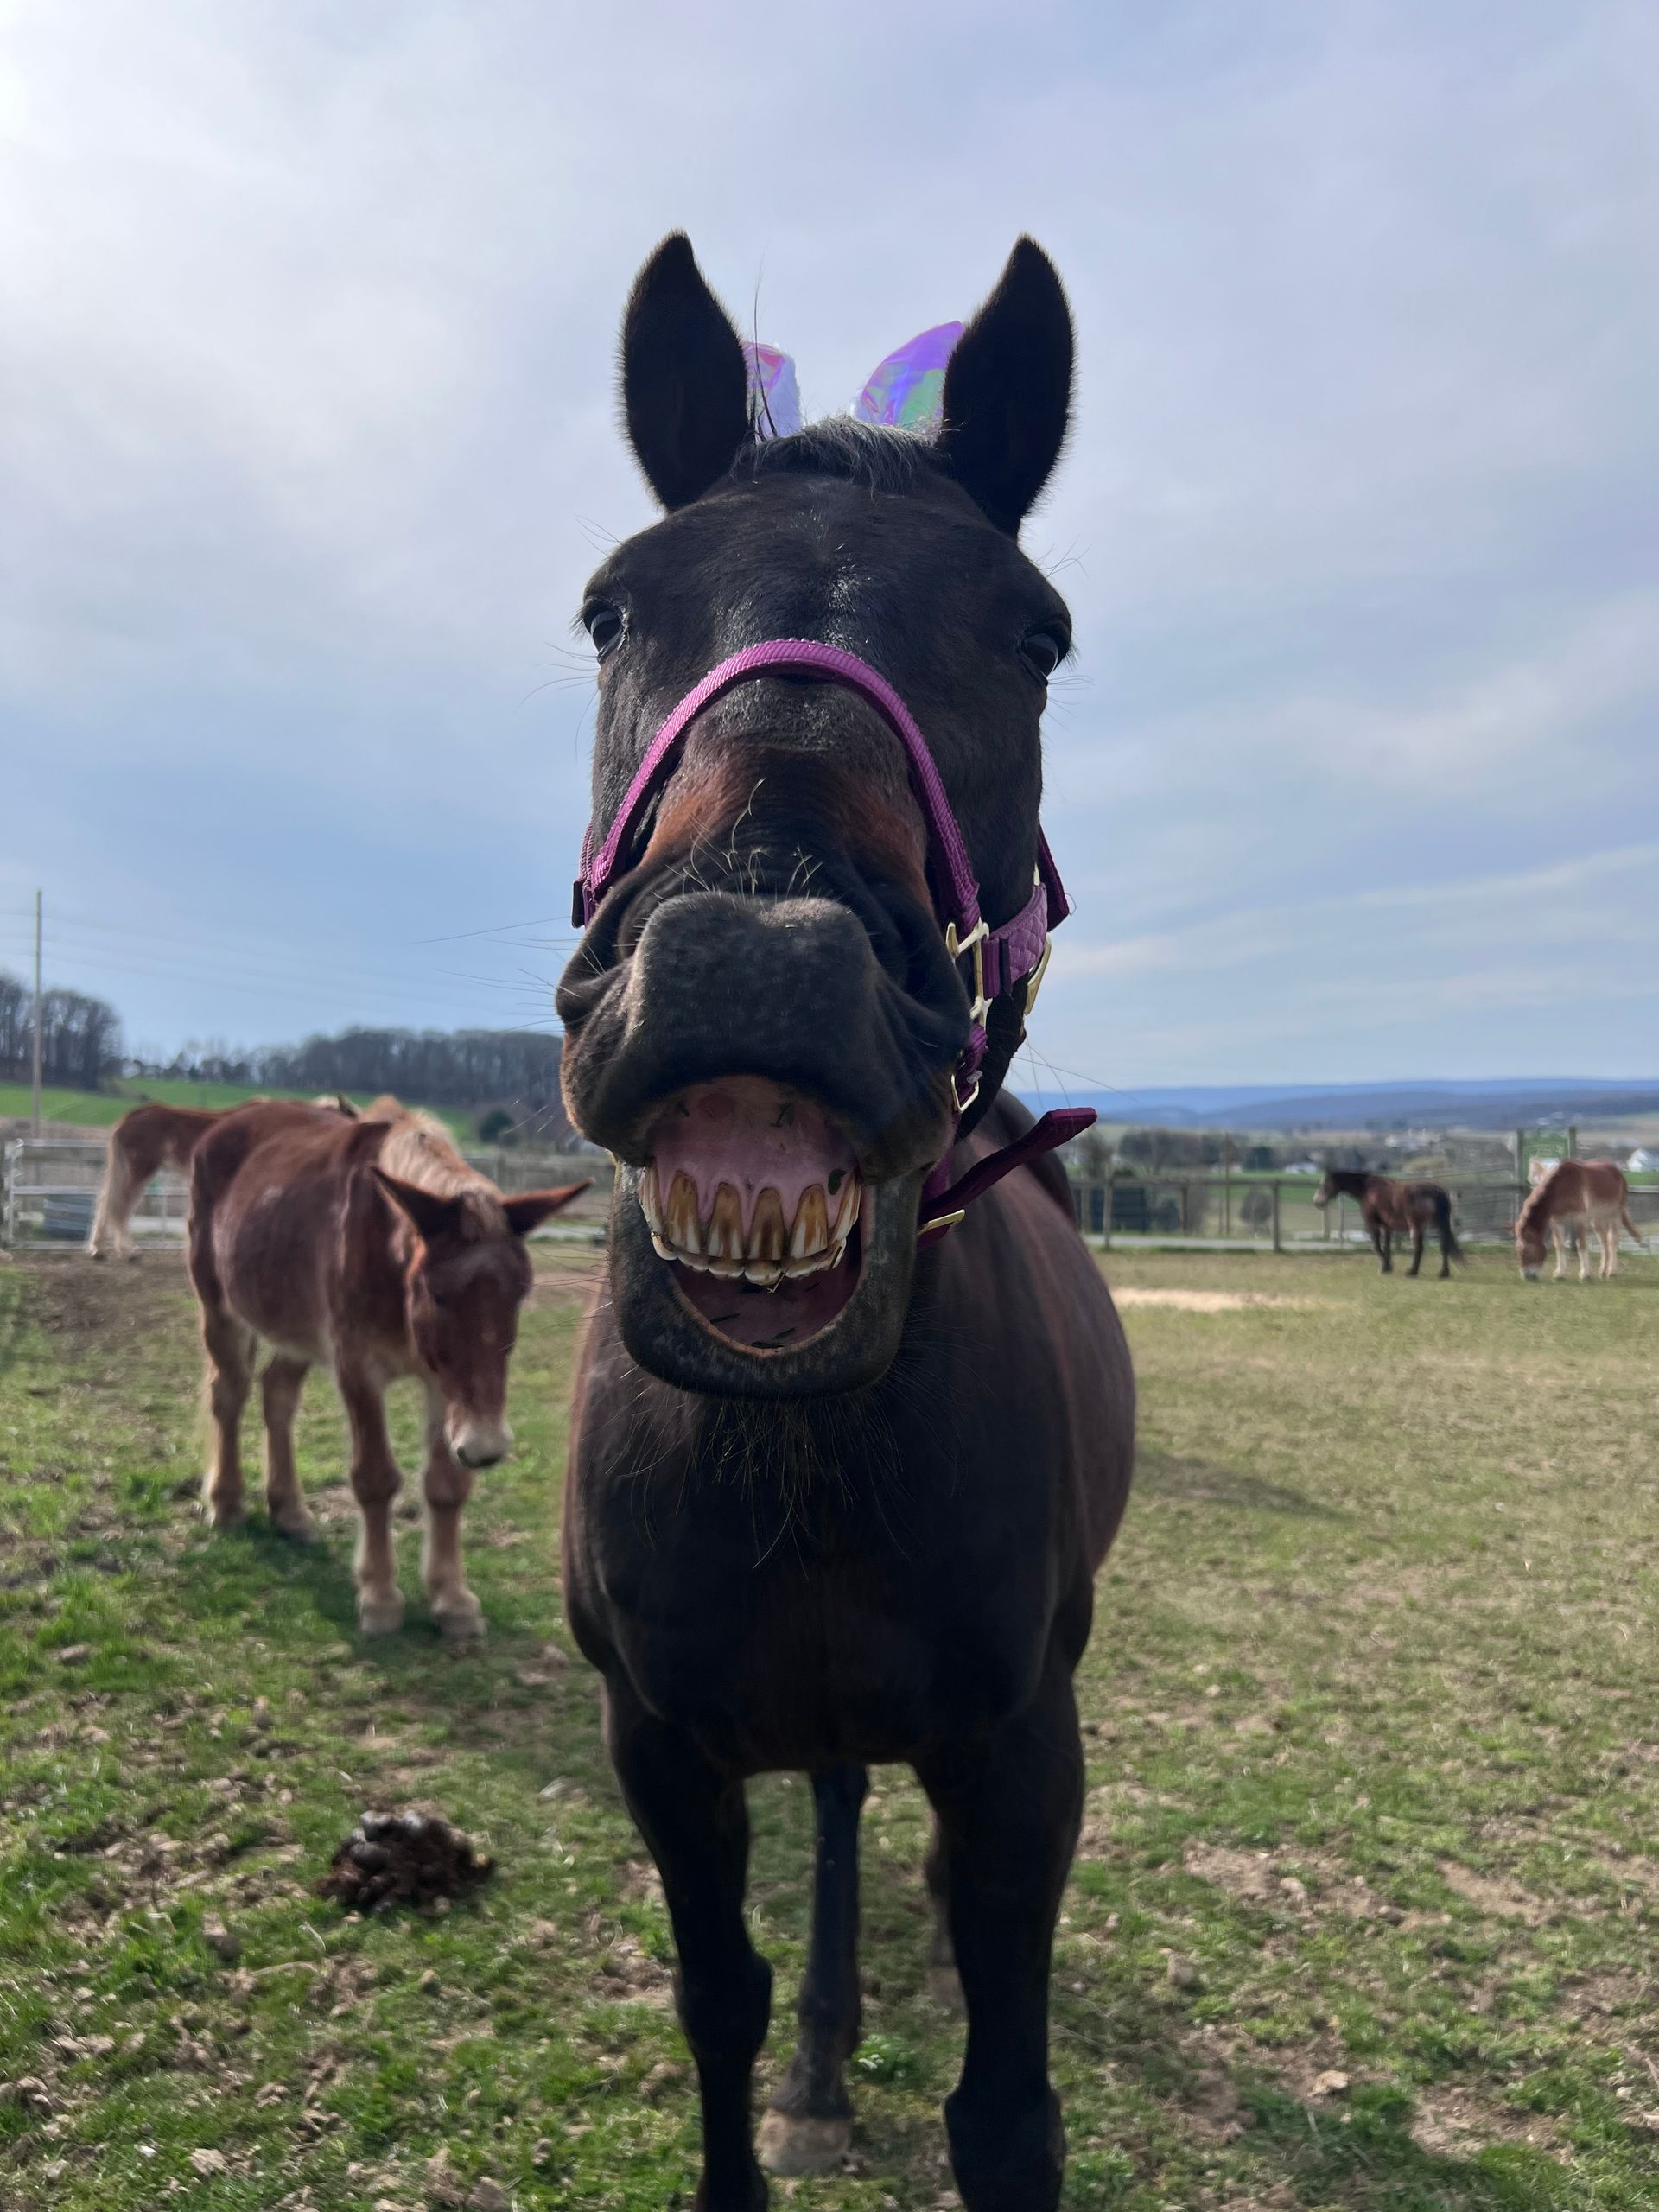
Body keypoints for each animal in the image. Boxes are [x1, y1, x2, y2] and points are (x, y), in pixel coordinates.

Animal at [88, 1094, 358, 1259]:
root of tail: (129, 1117)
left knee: (106, 1202)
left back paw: (99, 1249)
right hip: (140, 1169)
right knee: (121, 1206)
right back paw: (129, 1251)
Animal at [185, 1096, 585, 1635]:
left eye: (521, 1294)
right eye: (438, 1294)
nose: (486, 1448)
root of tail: (228, 1120)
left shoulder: (444, 1385)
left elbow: (446, 1485)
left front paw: (451, 1598)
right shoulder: (358, 1369)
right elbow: (375, 1478)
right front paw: (379, 1596)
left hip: (296, 1329)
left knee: (277, 1395)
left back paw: (289, 1510)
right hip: (222, 1308)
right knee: (229, 1393)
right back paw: (226, 1502)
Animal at [555, 235, 1134, 2212]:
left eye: (1036, 634)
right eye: (612, 610)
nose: (757, 966)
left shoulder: (1022, 1750)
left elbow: (1012, 2106)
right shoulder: (660, 1744)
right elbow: (713, 2001)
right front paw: (776, 2078)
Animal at [1314, 1166, 1463, 1278]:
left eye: (1323, 1184)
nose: (1317, 1202)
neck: (1368, 1190)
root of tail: (1435, 1190)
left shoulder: (1372, 1223)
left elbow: (1376, 1246)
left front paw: (1385, 1267)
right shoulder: (1386, 1226)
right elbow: (1387, 1246)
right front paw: (1388, 1266)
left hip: (1416, 1226)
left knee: (1419, 1247)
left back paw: (1412, 1271)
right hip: (1438, 1225)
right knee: (1444, 1245)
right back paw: (1443, 1273)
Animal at [1514, 1158, 1642, 1280]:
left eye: (1527, 1251)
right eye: (1518, 1252)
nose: (1527, 1276)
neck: (1562, 1186)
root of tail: (1618, 1172)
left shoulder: (1579, 1218)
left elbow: (1581, 1243)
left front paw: (1585, 1274)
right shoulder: (1556, 1220)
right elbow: (1559, 1244)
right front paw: (1560, 1273)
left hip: (1613, 1215)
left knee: (1611, 1240)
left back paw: (1611, 1271)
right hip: (1596, 1219)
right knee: (1603, 1241)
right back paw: (1603, 1271)